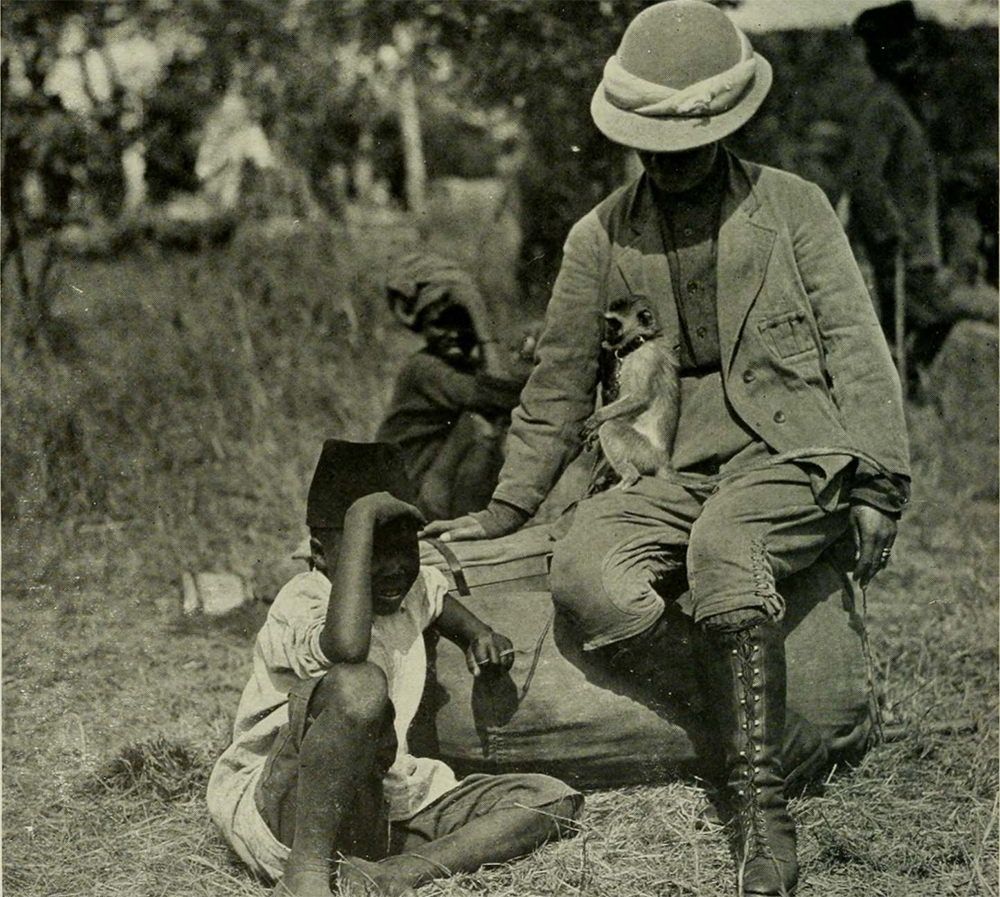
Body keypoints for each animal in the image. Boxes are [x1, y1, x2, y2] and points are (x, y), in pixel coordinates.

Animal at [584, 298, 684, 486]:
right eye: (609, 322)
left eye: (614, 324)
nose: (606, 335)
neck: (640, 343)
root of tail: (663, 461)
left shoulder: (645, 360)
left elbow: (639, 398)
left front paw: (597, 418)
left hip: (644, 453)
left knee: (610, 428)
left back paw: (629, 478)